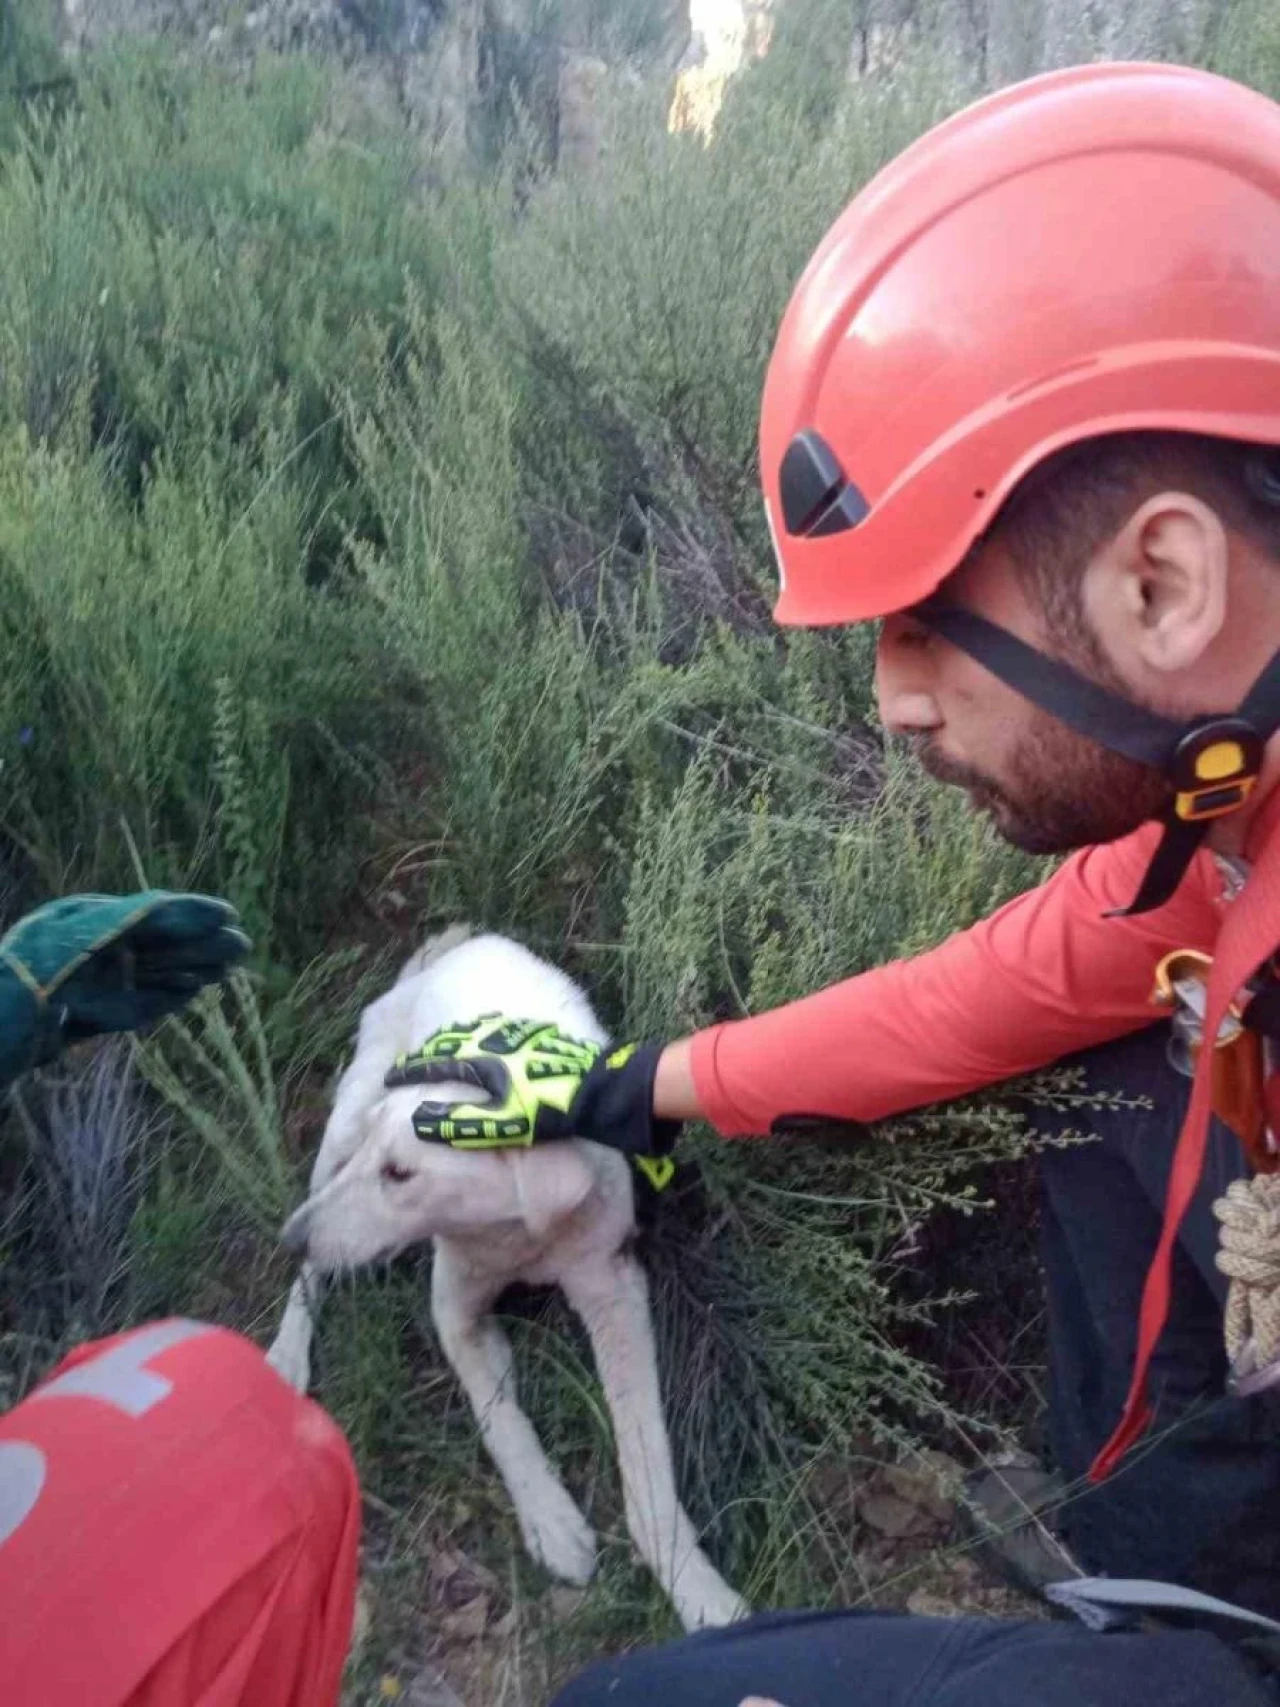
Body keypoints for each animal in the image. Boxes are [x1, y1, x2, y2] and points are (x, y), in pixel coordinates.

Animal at [267, 928, 750, 1631]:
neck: (519, 1235)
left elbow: (647, 1464)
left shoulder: (615, 1296)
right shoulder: (454, 1312)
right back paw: (286, 1351)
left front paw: (698, 1589)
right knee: (312, 1270)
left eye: (401, 1173)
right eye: (380, 1165)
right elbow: (500, 1421)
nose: (289, 1237)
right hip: (343, 1125)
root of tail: (455, 947)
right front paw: (551, 1520)